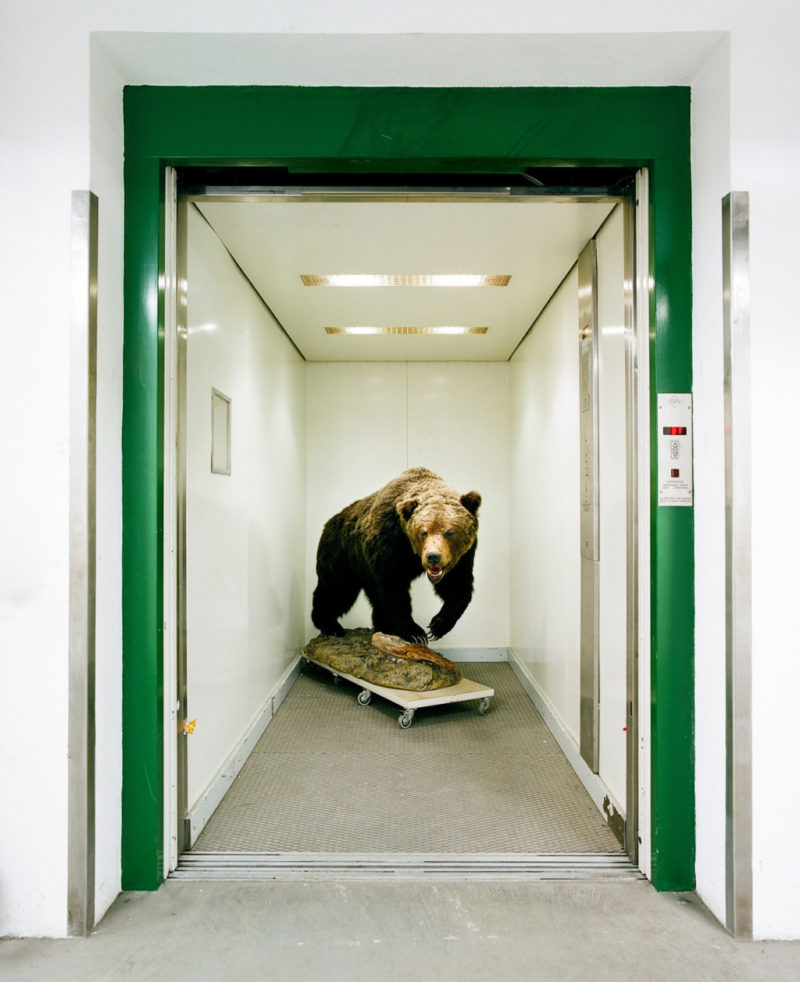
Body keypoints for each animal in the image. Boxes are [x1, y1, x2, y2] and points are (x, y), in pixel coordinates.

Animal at [310, 468, 478, 644]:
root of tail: (328, 523)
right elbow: (394, 587)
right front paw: (415, 632)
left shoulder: (463, 555)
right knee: (337, 589)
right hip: (341, 555)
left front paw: (438, 625)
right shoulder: (390, 546)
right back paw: (330, 625)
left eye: (449, 532)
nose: (433, 556)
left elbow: (456, 583)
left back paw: (383, 626)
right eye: (423, 532)